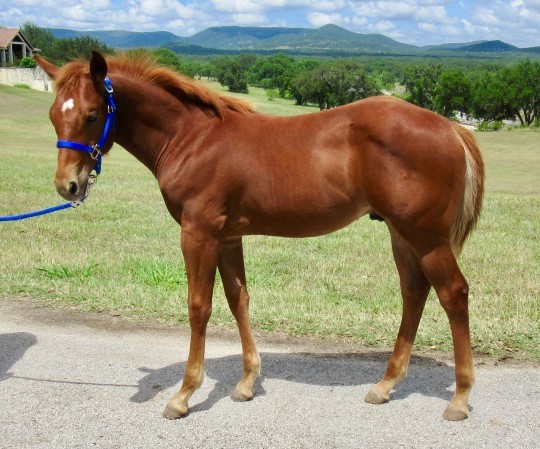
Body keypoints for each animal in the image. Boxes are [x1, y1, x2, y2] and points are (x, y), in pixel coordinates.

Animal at [34, 51, 486, 420]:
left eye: (93, 114)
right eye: (54, 115)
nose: (67, 186)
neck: (191, 138)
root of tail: (450, 127)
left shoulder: (198, 234)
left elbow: (199, 306)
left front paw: (183, 395)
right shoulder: (227, 237)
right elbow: (239, 299)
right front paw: (247, 383)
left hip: (425, 237)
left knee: (453, 293)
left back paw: (460, 398)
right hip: (400, 233)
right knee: (414, 291)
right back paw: (385, 385)